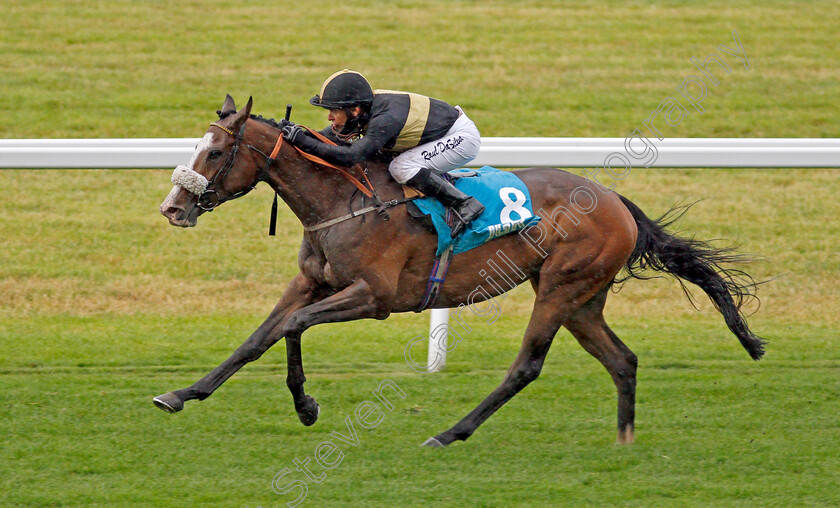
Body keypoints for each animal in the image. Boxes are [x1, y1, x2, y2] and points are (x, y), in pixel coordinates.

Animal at [154, 94, 764, 444]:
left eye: (215, 153)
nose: (173, 209)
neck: (341, 200)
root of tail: (614, 198)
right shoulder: (312, 281)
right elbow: (259, 336)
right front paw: (182, 394)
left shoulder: (373, 297)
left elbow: (292, 327)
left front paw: (306, 407)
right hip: (583, 298)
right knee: (623, 359)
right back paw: (624, 443)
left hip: (561, 289)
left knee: (527, 366)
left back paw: (449, 434)